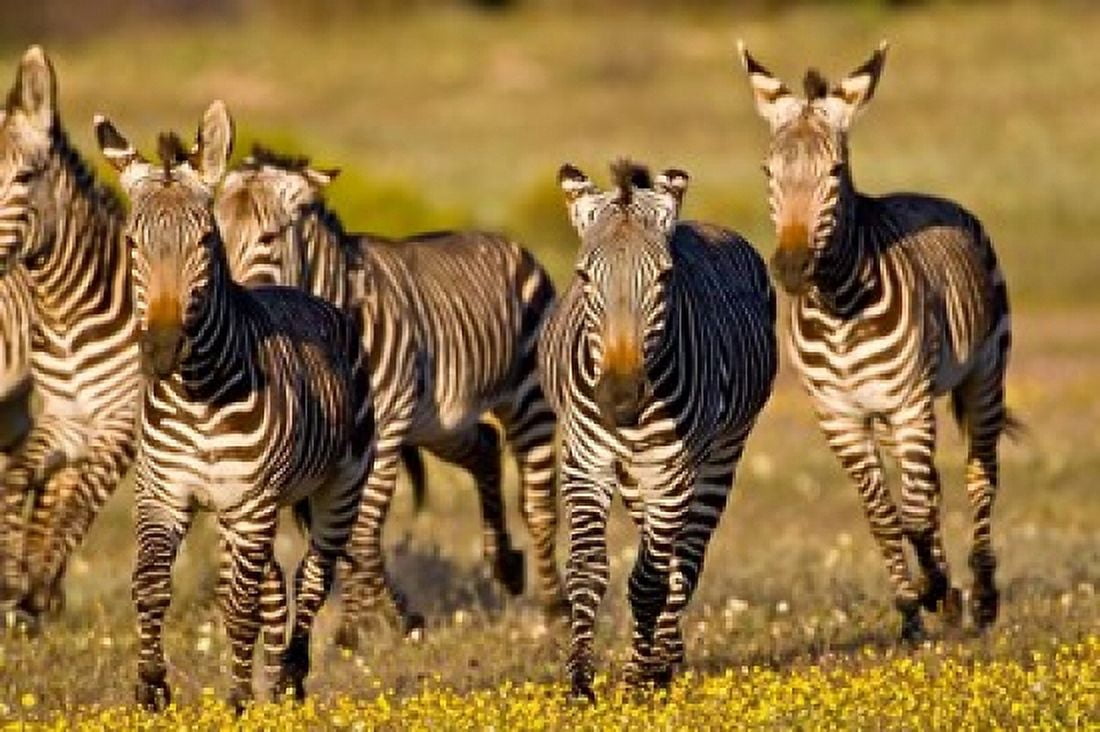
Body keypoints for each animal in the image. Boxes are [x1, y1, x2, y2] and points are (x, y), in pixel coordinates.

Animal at [95, 102, 374, 712]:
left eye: (205, 241)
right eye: (132, 243)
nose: (162, 348)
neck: (198, 391)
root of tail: (304, 293)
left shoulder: (251, 503)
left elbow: (240, 609)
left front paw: (238, 701)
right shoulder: (164, 493)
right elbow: (151, 586)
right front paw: (151, 689)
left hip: (336, 489)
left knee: (311, 579)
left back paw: (289, 680)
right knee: (273, 589)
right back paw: (275, 683)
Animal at [213, 139, 566, 641]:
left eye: (267, 238)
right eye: (215, 237)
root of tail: (505, 241)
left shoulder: (383, 431)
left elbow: (360, 533)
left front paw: (364, 626)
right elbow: (345, 537)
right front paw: (381, 619)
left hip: (527, 400)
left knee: (538, 505)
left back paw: (556, 609)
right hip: (442, 421)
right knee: (484, 447)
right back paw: (507, 566)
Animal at [539, 161, 777, 700]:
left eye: (665, 277)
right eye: (583, 276)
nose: (620, 399)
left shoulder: (672, 471)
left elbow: (649, 581)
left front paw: (637, 682)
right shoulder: (586, 462)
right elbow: (587, 571)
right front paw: (580, 685)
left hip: (718, 456)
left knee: (684, 560)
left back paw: (663, 661)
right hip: (635, 475)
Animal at [737, 43, 1013, 639]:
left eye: (835, 171)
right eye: (768, 170)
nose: (791, 269)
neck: (840, 307)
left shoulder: (910, 403)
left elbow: (915, 513)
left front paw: (937, 588)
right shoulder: (840, 416)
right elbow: (886, 518)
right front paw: (913, 609)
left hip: (982, 374)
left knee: (979, 475)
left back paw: (982, 598)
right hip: (889, 413)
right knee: (930, 488)